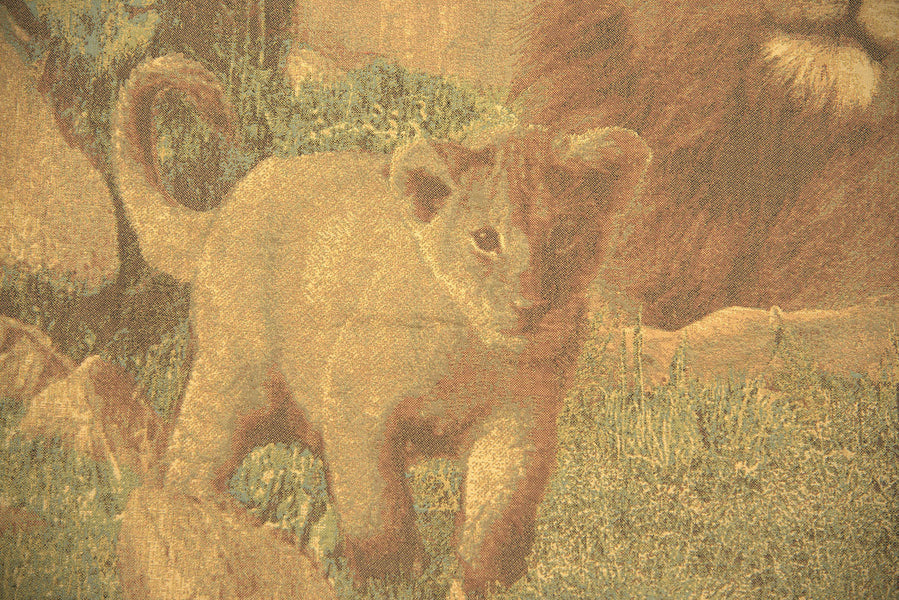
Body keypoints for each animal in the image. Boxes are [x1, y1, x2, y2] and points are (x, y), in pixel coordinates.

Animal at [111, 55, 651, 597]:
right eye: (485, 239)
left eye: (563, 238)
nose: (530, 305)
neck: (477, 351)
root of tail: (229, 206)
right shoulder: (357, 407)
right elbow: (378, 511)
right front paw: (396, 578)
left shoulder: (519, 426)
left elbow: (493, 523)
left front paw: (478, 581)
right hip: (233, 380)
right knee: (186, 464)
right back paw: (200, 530)